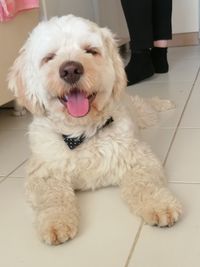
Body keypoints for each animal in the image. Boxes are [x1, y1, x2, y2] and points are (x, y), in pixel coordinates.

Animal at [8, 14, 181, 245]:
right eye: (49, 57)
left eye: (91, 51)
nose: (71, 70)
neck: (81, 133)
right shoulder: (43, 173)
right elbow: (52, 196)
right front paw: (56, 222)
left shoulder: (139, 158)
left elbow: (146, 183)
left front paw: (160, 204)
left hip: (144, 113)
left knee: (150, 105)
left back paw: (165, 103)